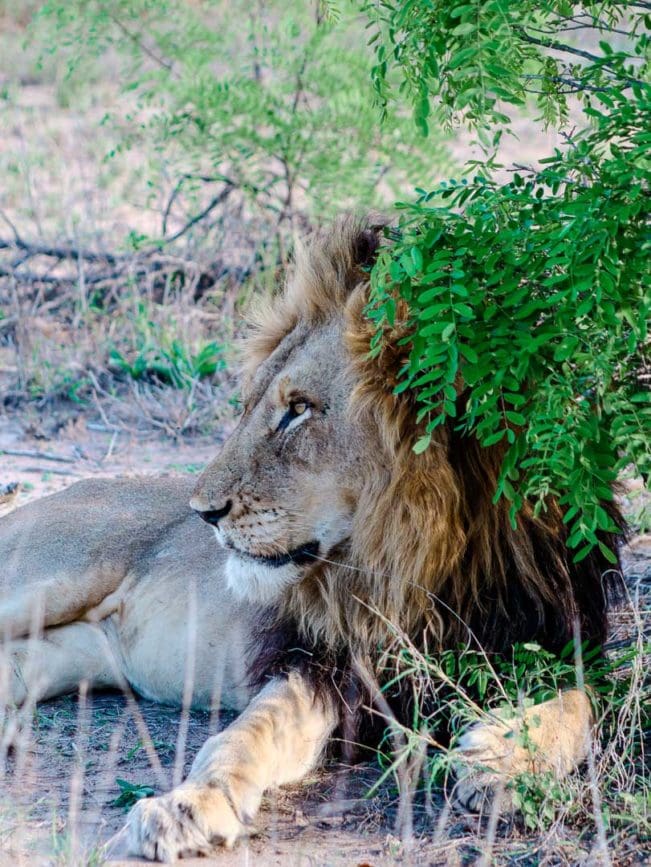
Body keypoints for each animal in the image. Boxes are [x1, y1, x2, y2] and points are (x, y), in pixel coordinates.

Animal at [0, 217, 622, 861]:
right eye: (251, 405)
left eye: (298, 409)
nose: (203, 513)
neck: (424, 566)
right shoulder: (319, 665)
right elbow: (243, 738)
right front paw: (187, 807)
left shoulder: (567, 638)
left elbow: (583, 703)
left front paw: (501, 759)